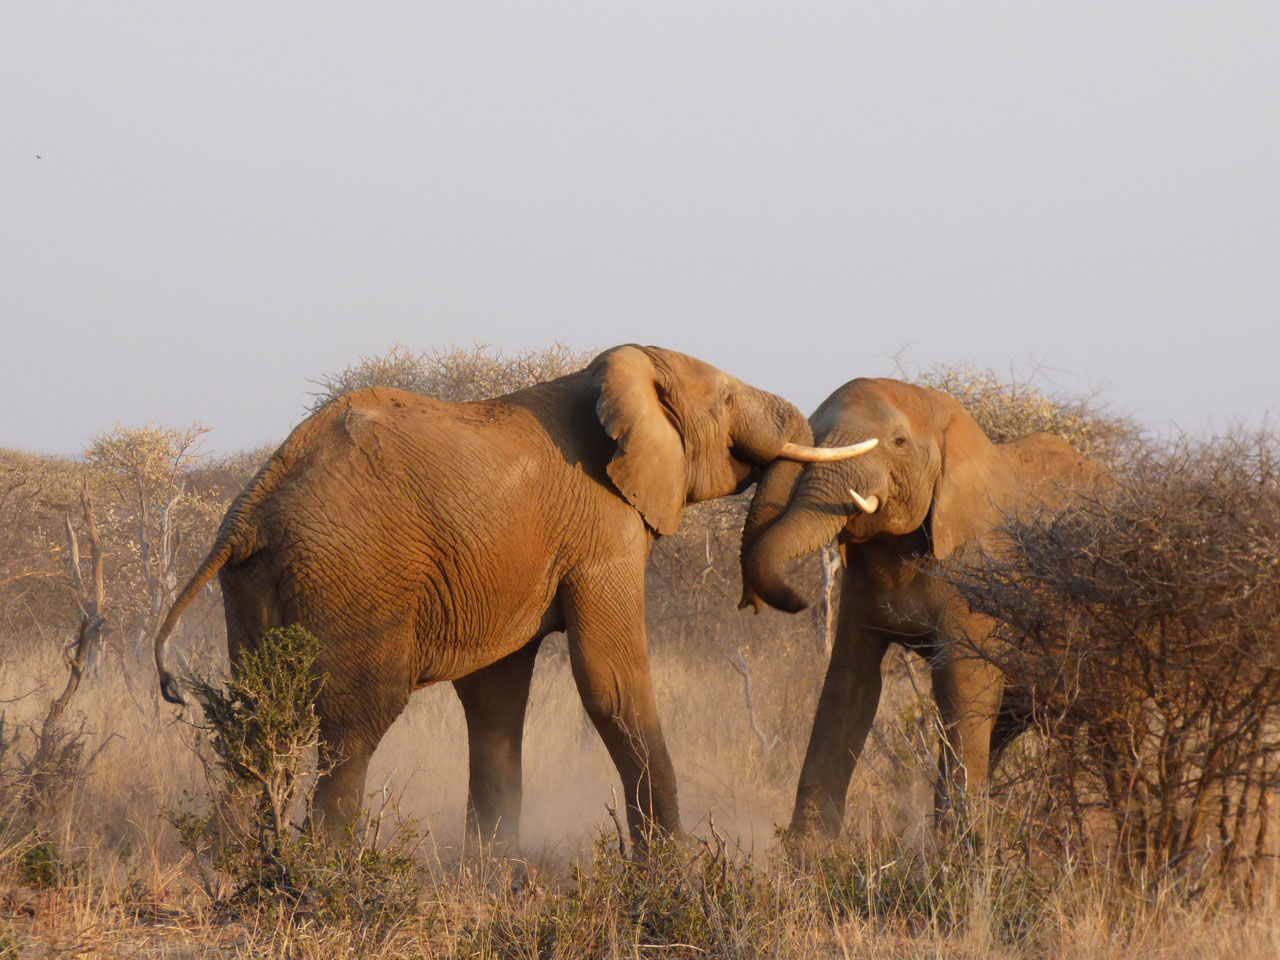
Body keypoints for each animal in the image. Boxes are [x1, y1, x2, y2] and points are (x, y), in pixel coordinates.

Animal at [147, 345, 870, 849]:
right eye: (723, 398)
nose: (782, 602)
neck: (619, 372)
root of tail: (249, 508)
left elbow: (495, 696)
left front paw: (494, 869)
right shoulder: (604, 526)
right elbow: (609, 681)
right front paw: (674, 868)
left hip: (255, 585)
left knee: (253, 718)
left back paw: (243, 865)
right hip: (355, 576)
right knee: (355, 723)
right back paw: (327, 879)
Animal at [737, 378, 1105, 839]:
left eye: (898, 442)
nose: (798, 600)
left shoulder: (979, 570)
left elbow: (961, 685)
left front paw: (956, 852)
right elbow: (850, 683)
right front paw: (808, 851)